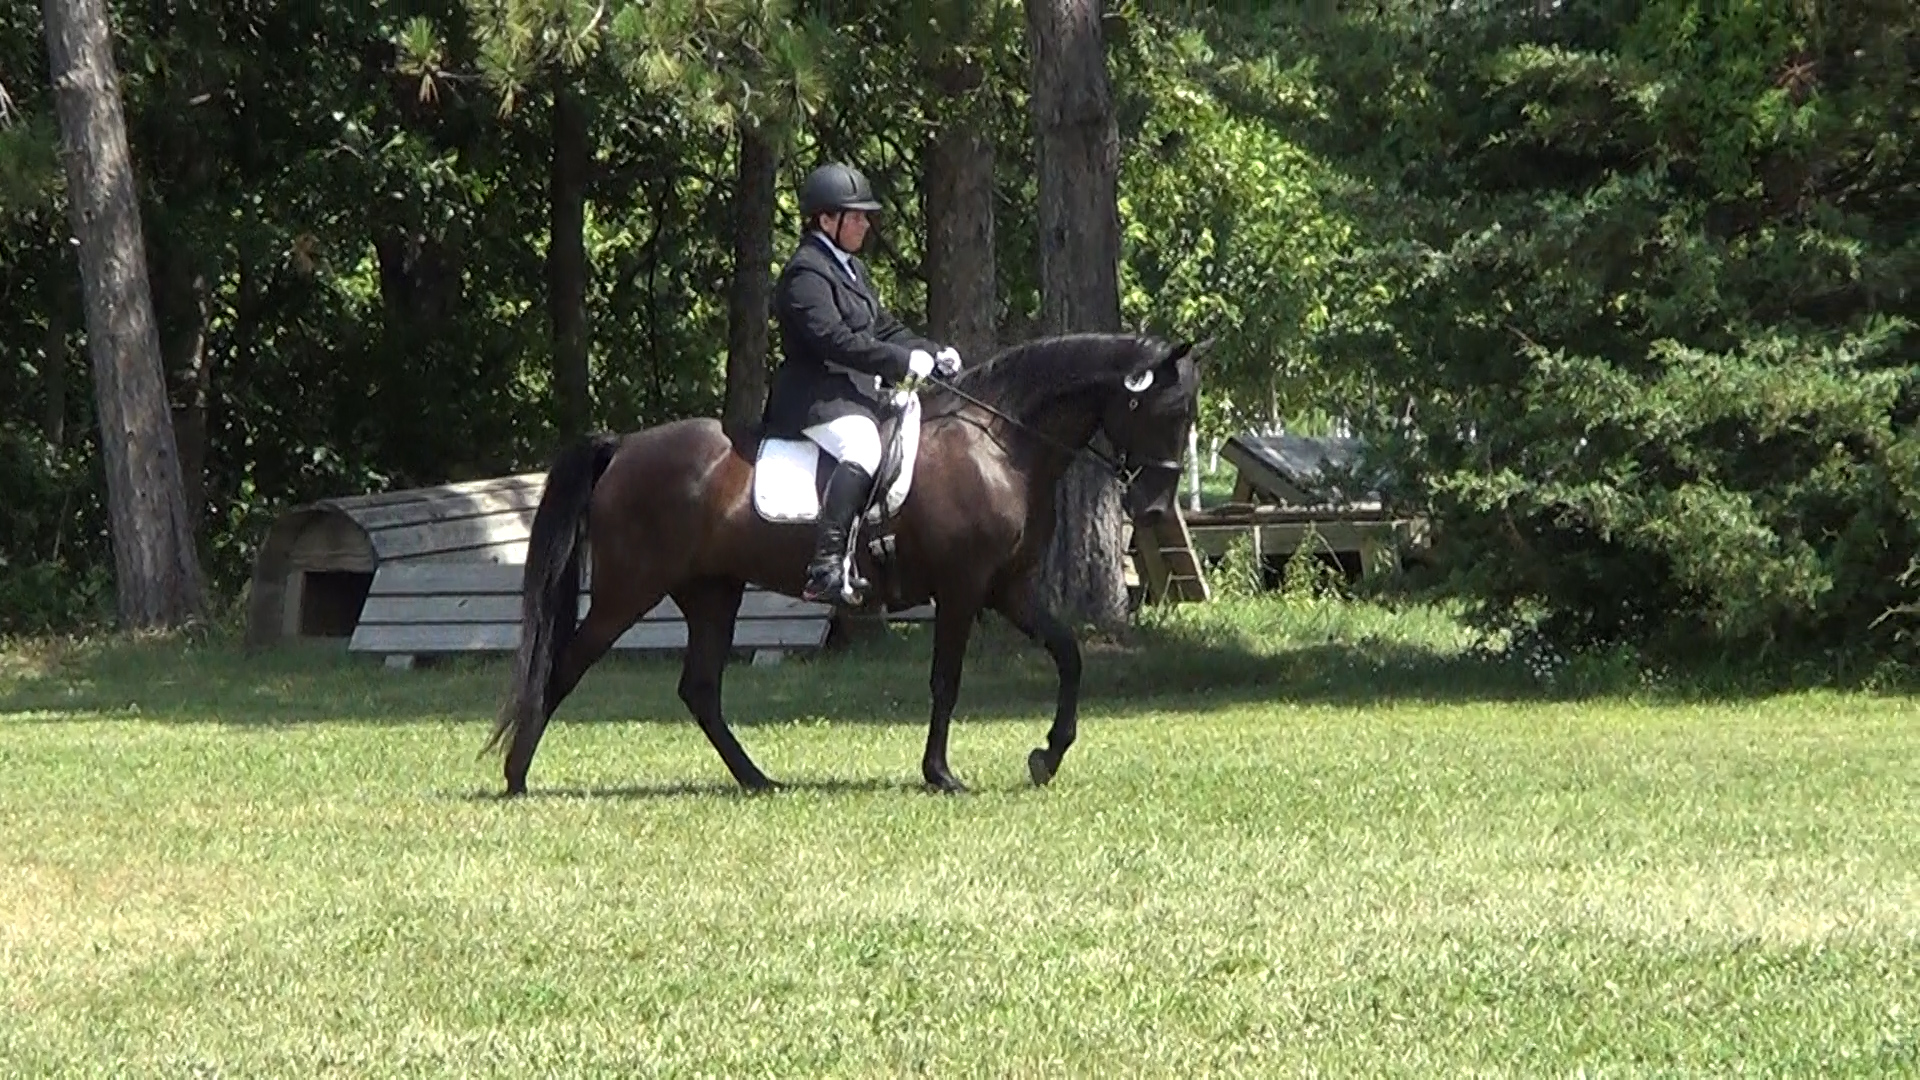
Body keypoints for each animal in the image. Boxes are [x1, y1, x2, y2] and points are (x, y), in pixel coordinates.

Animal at [487, 330, 1209, 796]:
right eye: (1160, 410)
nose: (1152, 506)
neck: (1000, 445)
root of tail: (624, 447)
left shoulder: (1008, 588)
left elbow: (1069, 654)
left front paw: (1047, 756)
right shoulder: (962, 589)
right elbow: (946, 681)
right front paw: (942, 775)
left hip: (712, 592)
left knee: (700, 690)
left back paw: (759, 781)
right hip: (628, 590)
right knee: (565, 666)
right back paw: (516, 778)